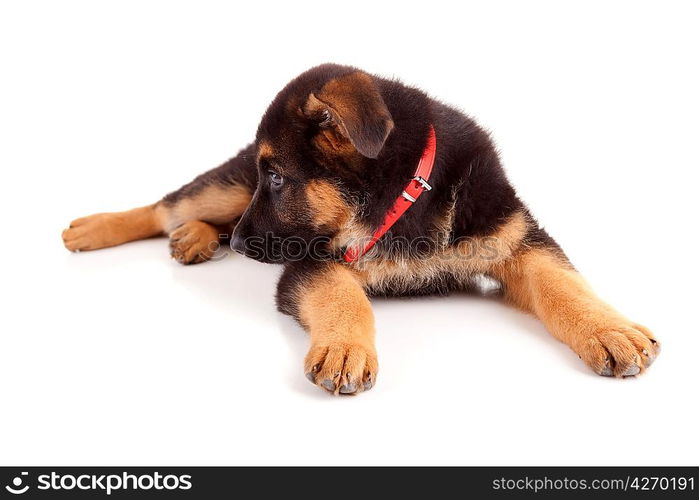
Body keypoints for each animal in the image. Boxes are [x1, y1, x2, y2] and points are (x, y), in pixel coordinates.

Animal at [63, 62, 660, 394]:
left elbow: (563, 284)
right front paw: (345, 348)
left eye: (278, 178)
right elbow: (343, 296)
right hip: (230, 184)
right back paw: (96, 229)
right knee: (167, 206)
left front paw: (610, 330)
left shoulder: (514, 237)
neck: (402, 197)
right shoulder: (310, 261)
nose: (238, 246)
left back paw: (198, 237)